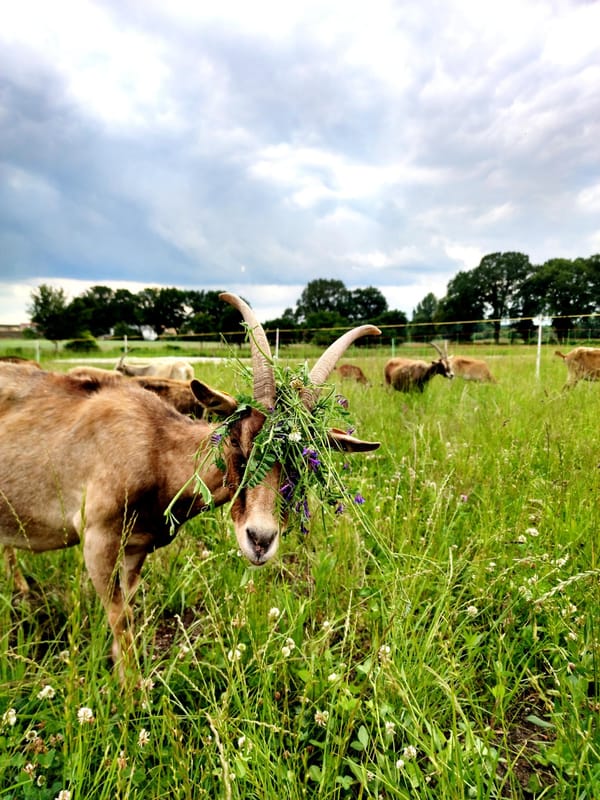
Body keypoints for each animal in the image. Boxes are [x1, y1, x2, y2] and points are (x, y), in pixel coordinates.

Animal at [0, 294, 380, 676]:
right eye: (237, 443)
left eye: (303, 462)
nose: (260, 540)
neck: (156, 447)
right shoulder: (97, 536)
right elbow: (121, 615)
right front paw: (130, 685)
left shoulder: (137, 546)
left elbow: (129, 607)